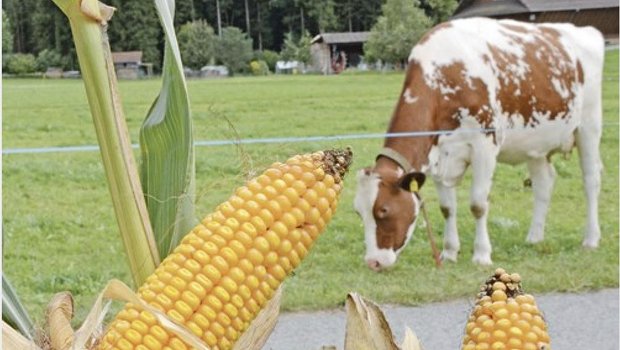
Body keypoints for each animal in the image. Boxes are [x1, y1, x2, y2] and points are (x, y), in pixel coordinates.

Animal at [356, 17, 604, 270]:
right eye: (359, 213)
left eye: (383, 210)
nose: (373, 262)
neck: (445, 75)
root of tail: (584, 31)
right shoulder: (439, 156)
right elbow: (447, 208)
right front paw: (449, 252)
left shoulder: (485, 146)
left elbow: (478, 204)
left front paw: (482, 255)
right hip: (536, 141)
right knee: (543, 183)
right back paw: (534, 237)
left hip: (589, 125)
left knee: (591, 180)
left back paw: (591, 239)